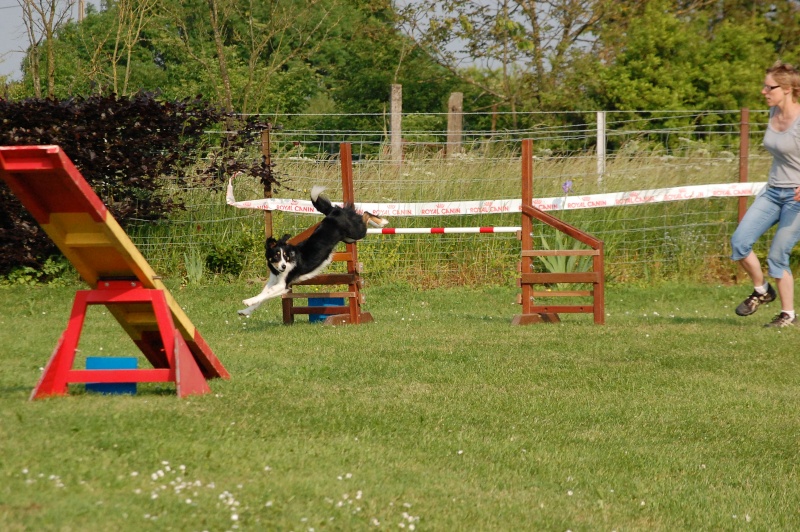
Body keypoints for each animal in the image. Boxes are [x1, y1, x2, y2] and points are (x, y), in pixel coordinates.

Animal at [238, 187, 388, 316]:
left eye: (285, 256)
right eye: (276, 255)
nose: (284, 266)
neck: (278, 271)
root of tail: (334, 212)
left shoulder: (283, 284)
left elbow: (266, 293)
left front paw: (248, 301)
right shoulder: (275, 281)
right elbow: (263, 297)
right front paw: (245, 311)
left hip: (356, 232)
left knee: (365, 215)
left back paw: (382, 222)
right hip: (350, 239)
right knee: (362, 216)